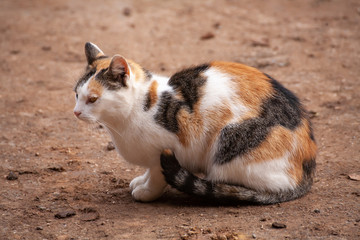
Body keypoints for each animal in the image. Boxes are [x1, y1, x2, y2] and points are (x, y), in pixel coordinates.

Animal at [74, 42, 316, 204]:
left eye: (93, 99)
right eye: (76, 94)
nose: (76, 112)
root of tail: (306, 174)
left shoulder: (166, 150)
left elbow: (157, 175)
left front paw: (147, 192)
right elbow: (149, 172)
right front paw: (140, 181)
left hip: (229, 143)